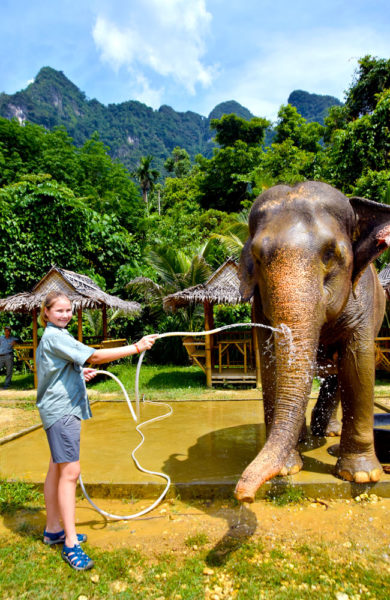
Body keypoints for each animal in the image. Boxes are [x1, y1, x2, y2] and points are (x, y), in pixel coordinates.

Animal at [235, 180, 390, 504]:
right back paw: (309, 436)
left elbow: (357, 364)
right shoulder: (259, 306)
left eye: (330, 254)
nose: (244, 496)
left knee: (338, 372)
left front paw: (362, 476)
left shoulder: (363, 301)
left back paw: (327, 434)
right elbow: (271, 365)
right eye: (257, 258)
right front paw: (286, 468)